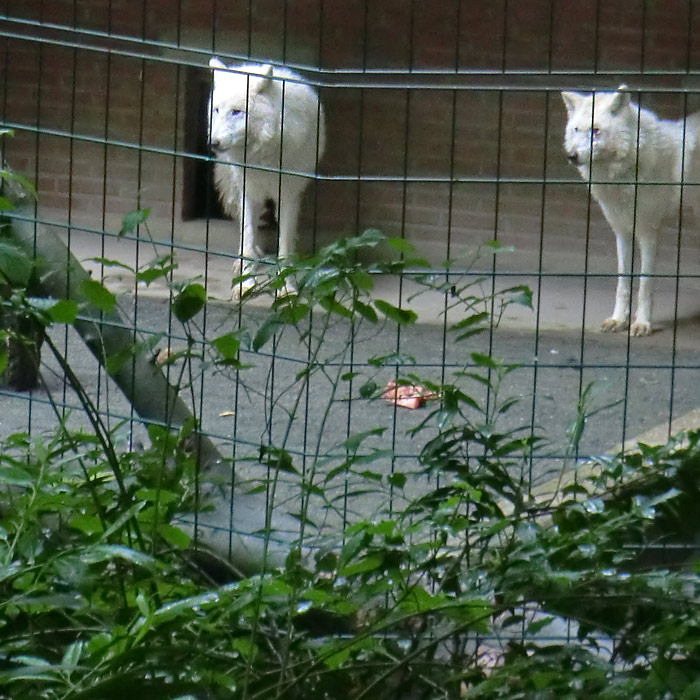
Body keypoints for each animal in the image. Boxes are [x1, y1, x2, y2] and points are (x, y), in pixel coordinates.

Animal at [209, 56, 326, 292]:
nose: (214, 143)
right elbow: (247, 237)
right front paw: (245, 284)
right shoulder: (250, 192)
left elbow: (284, 248)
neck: (262, 156)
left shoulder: (288, 196)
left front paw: (287, 287)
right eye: (217, 110)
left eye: (236, 111)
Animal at [564, 85, 700, 336]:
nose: (572, 156)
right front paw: (618, 320)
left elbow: (645, 283)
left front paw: (642, 324)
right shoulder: (622, 231)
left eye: (596, 130)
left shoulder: (648, 232)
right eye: (576, 129)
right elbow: (623, 281)